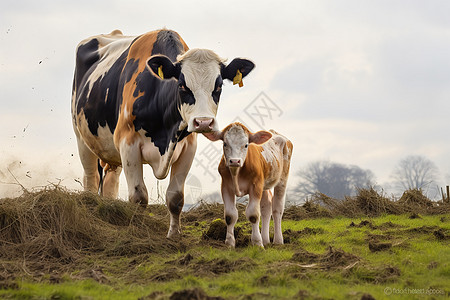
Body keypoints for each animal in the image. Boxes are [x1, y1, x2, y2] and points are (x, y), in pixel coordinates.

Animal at [70, 29, 253, 238]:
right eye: (182, 85)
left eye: (219, 86)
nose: (203, 122)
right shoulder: (128, 145)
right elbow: (138, 197)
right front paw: (138, 232)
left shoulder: (188, 148)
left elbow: (176, 197)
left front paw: (173, 235)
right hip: (82, 139)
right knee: (91, 180)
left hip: (110, 153)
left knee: (110, 184)